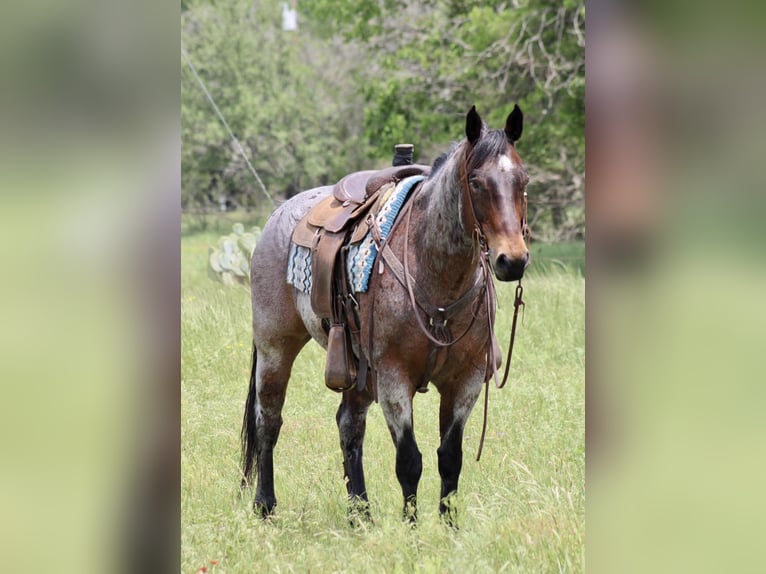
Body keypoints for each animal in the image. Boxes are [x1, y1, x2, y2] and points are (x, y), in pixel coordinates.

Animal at [243, 103, 532, 528]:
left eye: (523, 180)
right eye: (477, 182)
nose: (512, 260)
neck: (437, 276)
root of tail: (279, 214)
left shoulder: (466, 380)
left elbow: (450, 458)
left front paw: (449, 527)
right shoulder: (395, 378)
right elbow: (409, 460)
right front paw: (412, 529)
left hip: (354, 366)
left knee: (349, 425)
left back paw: (359, 513)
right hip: (275, 347)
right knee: (269, 420)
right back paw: (265, 505)